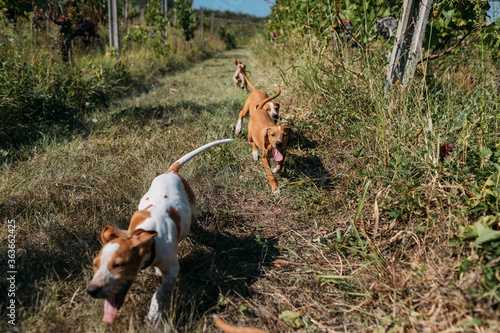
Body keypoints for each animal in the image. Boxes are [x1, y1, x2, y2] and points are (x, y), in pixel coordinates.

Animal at [86, 137, 234, 322]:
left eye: (119, 265)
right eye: (95, 264)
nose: (91, 291)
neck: (147, 236)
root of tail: (170, 172)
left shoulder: (173, 270)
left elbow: (159, 293)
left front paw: (153, 314)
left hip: (192, 203)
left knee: (194, 217)